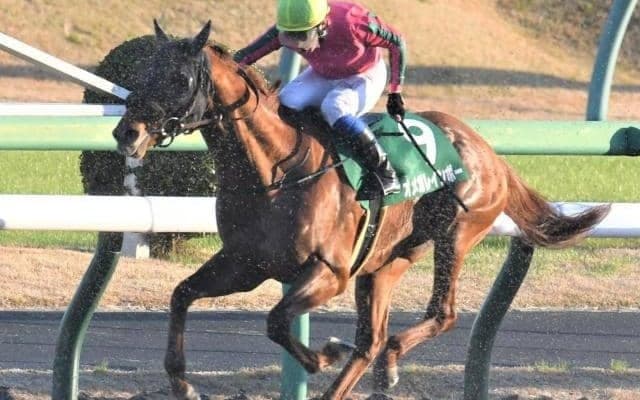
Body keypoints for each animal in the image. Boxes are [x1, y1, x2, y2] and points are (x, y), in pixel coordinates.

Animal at [112, 21, 609, 400]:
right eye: (144, 69)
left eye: (180, 79)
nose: (126, 132)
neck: (277, 167)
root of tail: (490, 152)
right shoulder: (245, 263)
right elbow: (181, 295)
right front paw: (181, 382)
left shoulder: (329, 271)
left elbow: (277, 320)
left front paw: (322, 353)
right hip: (385, 262)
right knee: (370, 340)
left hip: (456, 233)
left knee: (440, 315)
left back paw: (389, 360)